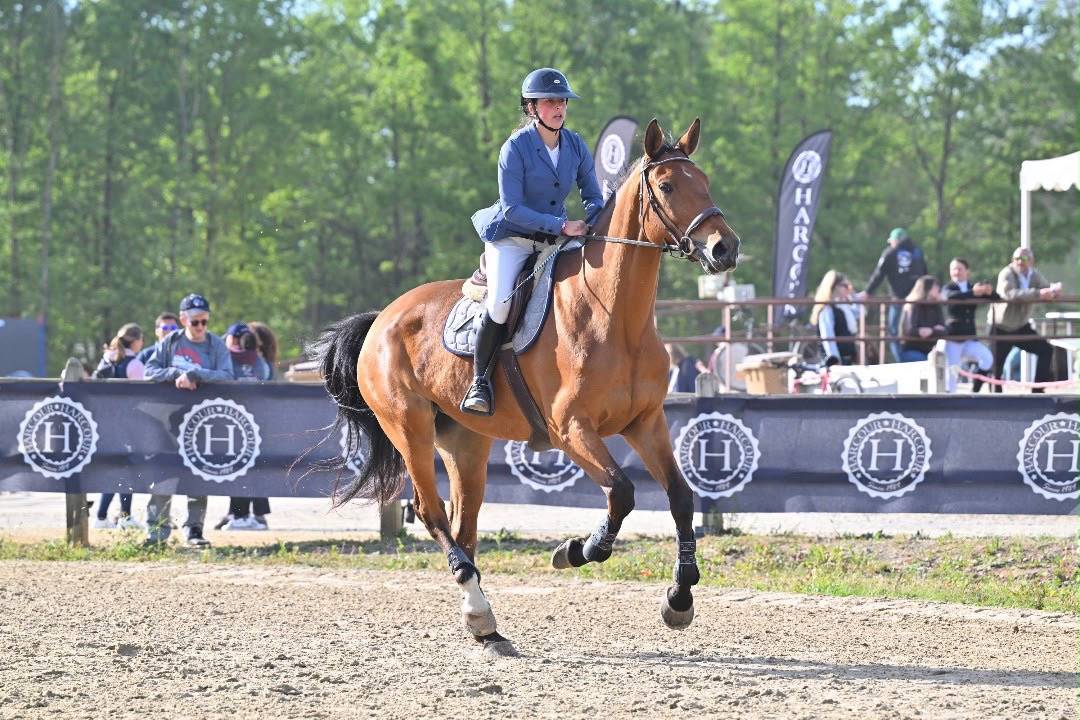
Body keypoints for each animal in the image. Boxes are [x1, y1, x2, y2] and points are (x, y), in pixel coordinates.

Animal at [310, 118, 741, 656]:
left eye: (705, 181)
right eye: (666, 187)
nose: (725, 248)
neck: (615, 317)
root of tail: (380, 319)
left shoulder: (646, 422)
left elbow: (681, 498)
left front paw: (679, 599)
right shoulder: (571, 430)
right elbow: (621, 492)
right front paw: (577, 550)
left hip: (466, 442)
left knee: (464, 523)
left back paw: (485, 627)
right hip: (408, 428)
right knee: (432, 513)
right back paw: (480, 610)